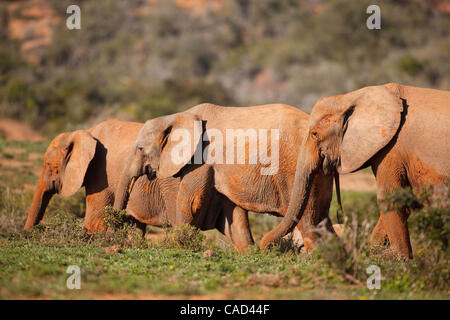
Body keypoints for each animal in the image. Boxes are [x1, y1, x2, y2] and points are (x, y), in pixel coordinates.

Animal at [24, 118, 255, 252]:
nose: (25, 237)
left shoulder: (100, 173)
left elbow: (95, 221)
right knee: (236, 225)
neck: (85, 132)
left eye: (49, 166)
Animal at [114, 103, 336, 252]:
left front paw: (177, 247)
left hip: (295, 168)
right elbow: (234, 213)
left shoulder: (201, 158)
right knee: (321, 216)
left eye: (140, 148)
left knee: (308, 221)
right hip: (320, 172)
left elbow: (190, 202)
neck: (178, 116)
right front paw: (250, 252)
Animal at [260, 84, 450, 258]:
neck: (352, 97)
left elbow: (390, 199)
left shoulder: (392, 149)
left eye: (314, 134)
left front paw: (401, 263)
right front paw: (376, 256)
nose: (264, 248)